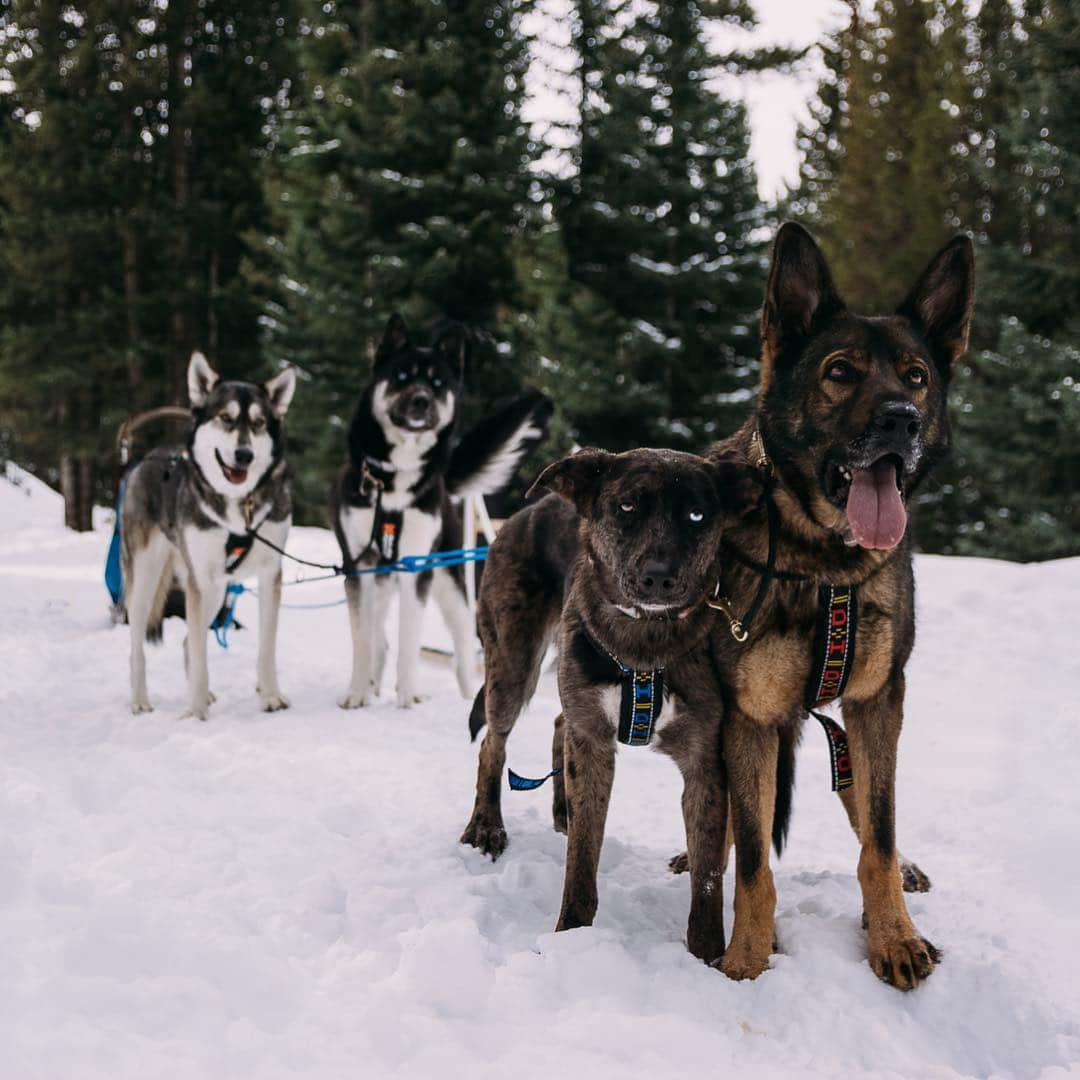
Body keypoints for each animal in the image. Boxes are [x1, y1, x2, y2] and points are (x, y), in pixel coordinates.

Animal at [123, 354, 295, 721]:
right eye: (226, 418)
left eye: (258, 423)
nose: (244, 455)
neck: (239, 506)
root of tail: (145, 458)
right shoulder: (199, 581)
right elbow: (202, 656)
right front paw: (195, 712)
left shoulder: (269, 574)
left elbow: (266, 649)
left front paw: (270, 696)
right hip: (147, 581)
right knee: (138, 647)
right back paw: (141, 700)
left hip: (216, 591)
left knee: (190, 641)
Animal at [328, 313, 548, 712]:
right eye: (401, 376)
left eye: (437, 383)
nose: (420, 400)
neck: (393, 485)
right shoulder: (358, 566)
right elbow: (363, 639)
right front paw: (357, 693)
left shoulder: (416, 567)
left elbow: (410, 641)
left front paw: (409, 695)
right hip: (381, 582)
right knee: (378, 636)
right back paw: (372, 686)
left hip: (452, 585)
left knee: (462, 649)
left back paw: (462, 697)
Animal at [464, 447, 760, 963]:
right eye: (627, 506)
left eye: (697, 514)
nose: (658, 577)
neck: (644, 642)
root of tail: (532, 508)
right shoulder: (594, 747)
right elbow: (582, 859)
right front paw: (571, 935)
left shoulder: (704, 761)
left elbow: (706, 877)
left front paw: (706, 956)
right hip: (512, 662)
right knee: (493, 743)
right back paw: (486, 826)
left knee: (559, 721)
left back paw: (560, 809)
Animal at [708, 223, 980, 989]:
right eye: (840, 372)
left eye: (916, 376)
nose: (902, 420)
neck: (824, 562)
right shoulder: (749, 718)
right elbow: (753, 862)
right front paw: (746, 960)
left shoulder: (877, 701)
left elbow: (877, 838)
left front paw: (894, 937)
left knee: (866, 809)